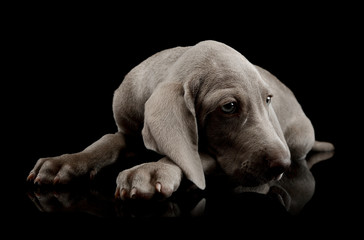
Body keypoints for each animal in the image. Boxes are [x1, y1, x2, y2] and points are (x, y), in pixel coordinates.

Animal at [27, 40, 334, 200]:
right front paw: (64, 162)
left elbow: (194, 158)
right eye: (229, 107)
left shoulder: (219, 160)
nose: (282, 165)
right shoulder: (127, 127)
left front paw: (151, 171)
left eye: (267, 99)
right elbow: (107, 141)